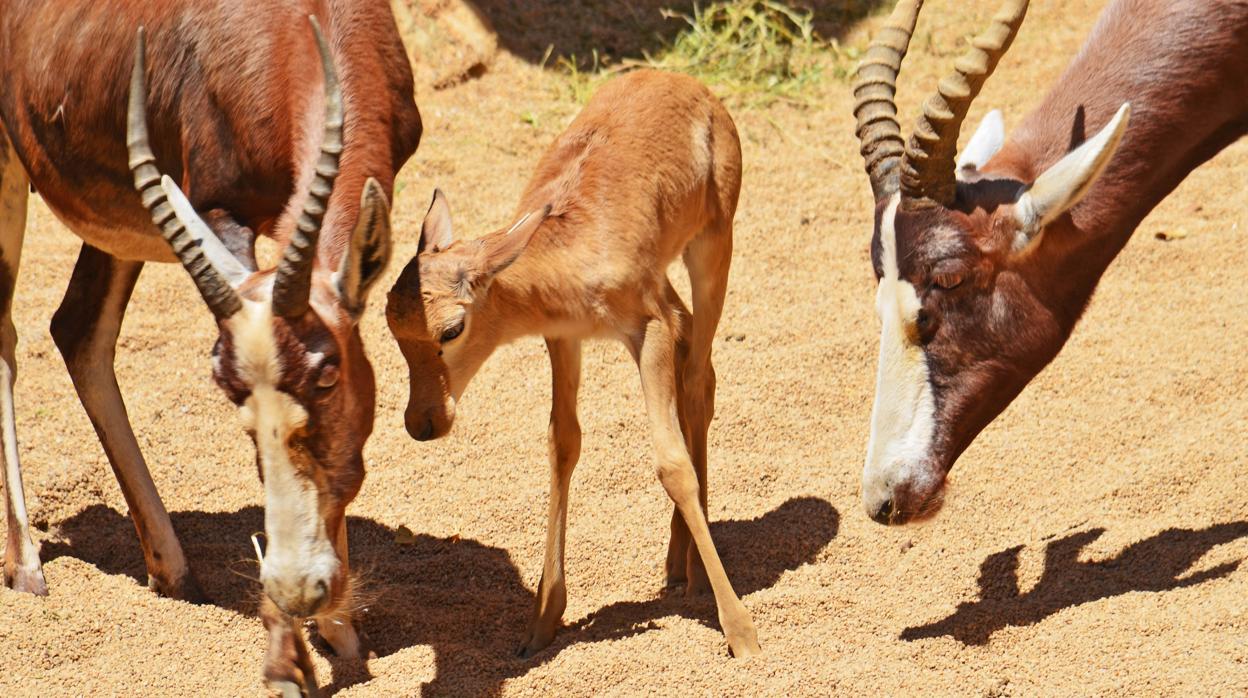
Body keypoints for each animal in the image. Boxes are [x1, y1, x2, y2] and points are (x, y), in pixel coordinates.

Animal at [0, 1, 419, 694]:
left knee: (78, 330)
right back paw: (28, 567)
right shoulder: (218, 210)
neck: (299, 27)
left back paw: (172, 570)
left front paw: (338, 633)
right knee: (10, 335)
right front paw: (293, 658)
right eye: (226, 387)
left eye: (327, 374)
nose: (296, 587)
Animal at [386, 68, 758, 659]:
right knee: (690, 347)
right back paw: (678, 563)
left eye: (450, 330)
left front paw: (742, 633)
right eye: (390, 326)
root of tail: (685, 81)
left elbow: (671, 464)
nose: (423, 423)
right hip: (668, 286)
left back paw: (697, 573)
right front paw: (541, 621)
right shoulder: (563, 337)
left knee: (700, 378)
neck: (570, 245)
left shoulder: (645, 330)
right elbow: (563, 443)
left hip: (712, 247)